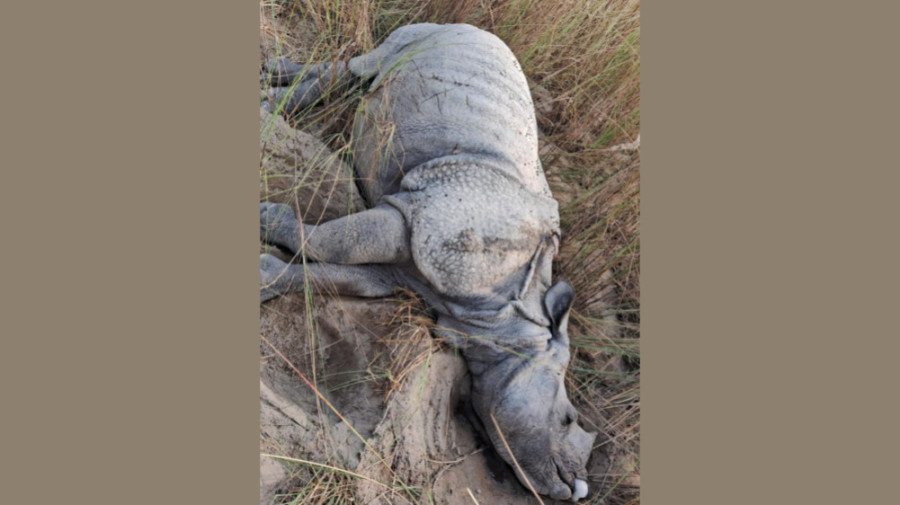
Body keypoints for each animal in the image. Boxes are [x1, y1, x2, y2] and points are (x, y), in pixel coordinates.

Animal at [260, 23, 596, 502]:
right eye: (568, 420)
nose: (574, 489)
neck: (509, 314)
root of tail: (477, 28)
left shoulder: (410, 271)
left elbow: (344, 273)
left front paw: (264, 278)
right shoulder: (418, 218)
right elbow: (332, 243)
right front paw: (266, 219)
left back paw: (273, 87)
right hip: (430, 36)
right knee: (367, 65)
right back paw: (272, 104)